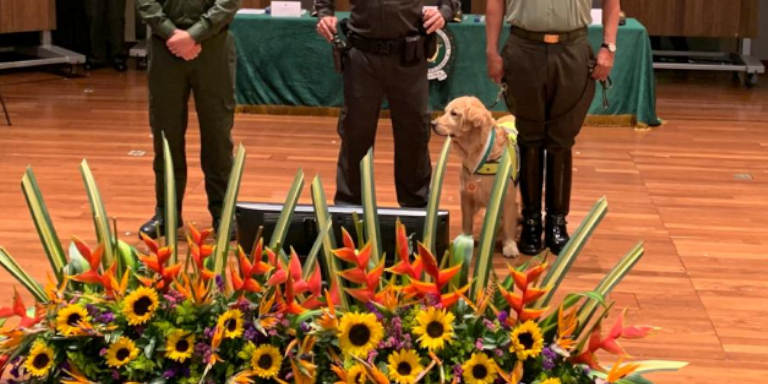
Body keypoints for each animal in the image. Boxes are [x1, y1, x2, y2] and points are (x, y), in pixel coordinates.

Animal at [428, 97, 520, 258]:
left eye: (454, 113)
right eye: (445, 111)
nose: (432, 123)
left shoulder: (508, 197)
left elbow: (509, 225)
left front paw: (509, 246)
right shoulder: (466, 194)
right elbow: (467, 221)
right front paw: (464, 240)